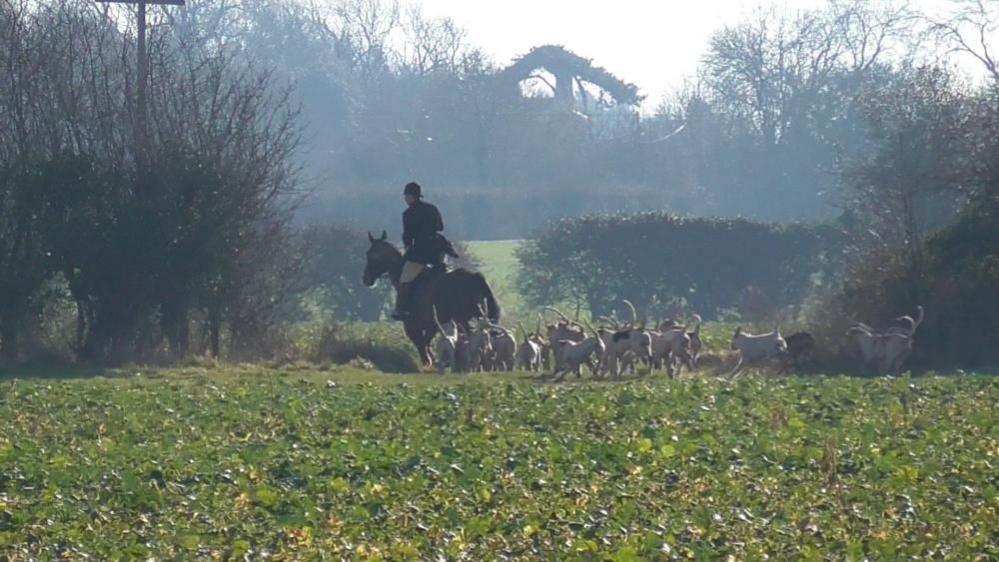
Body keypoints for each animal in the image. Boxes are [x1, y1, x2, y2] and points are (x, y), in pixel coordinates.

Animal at [364, 230, 500, 366]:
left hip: (462, 319)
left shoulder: (411, 325)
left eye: (369, 255)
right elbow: (426, 342)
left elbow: (421, 343)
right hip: (478, 315)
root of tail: (475, 277)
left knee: (473, 338)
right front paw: (433, 359)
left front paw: (429, 360)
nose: (366, 279)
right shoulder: (432, 324)